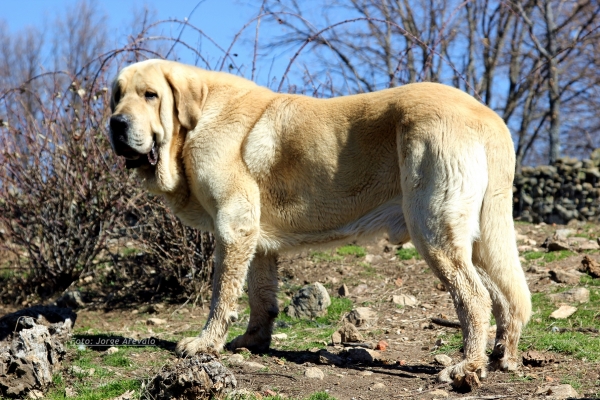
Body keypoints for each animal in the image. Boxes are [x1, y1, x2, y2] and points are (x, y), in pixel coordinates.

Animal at [110, 59, 532, 388]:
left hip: (433, 229)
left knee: (474, 298)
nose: (117, 123)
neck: (194, 123)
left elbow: (222, 294)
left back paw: (467, 367)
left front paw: (204, 344)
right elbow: (260, 295)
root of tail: (487, 116)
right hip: (478, 239)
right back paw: (503, 358)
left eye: (150, 95)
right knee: (508, 297)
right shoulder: (255, 238)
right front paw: (253, 341)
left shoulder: (233, 224)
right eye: (116, 95)